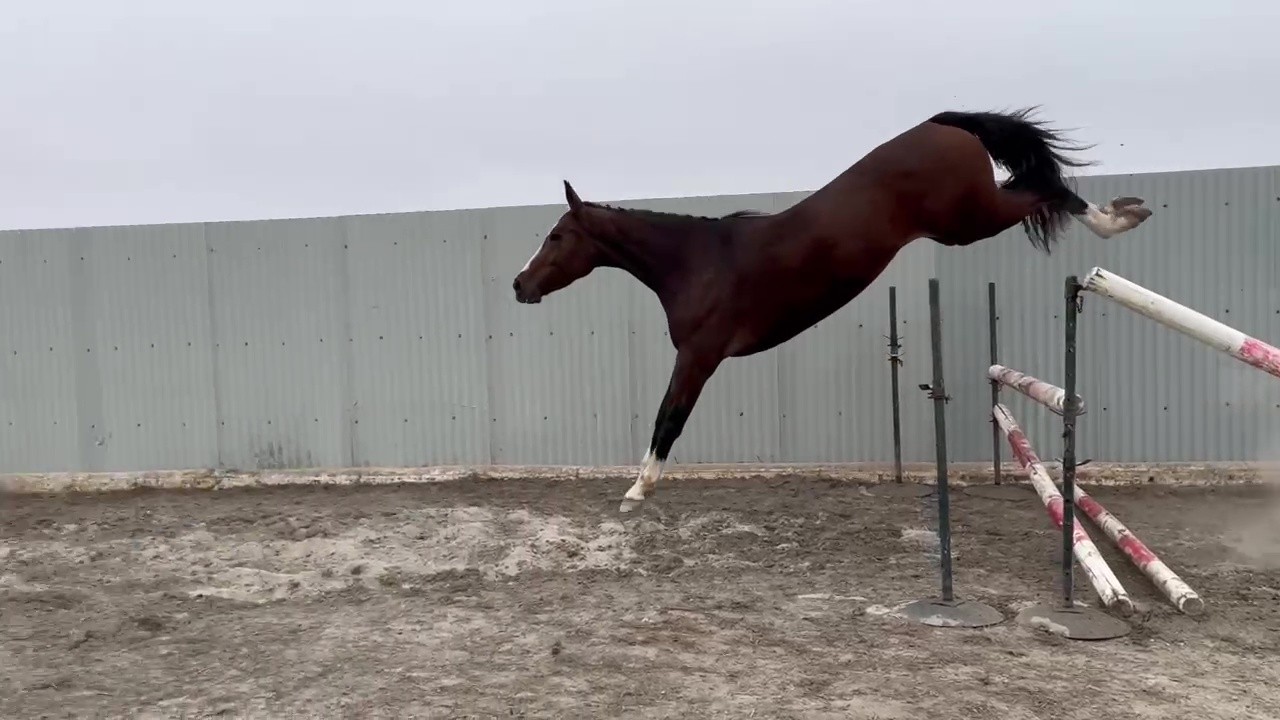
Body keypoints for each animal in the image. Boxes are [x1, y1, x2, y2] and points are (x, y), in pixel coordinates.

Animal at [511, 107, 1153, 513]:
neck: (696, 261)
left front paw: (636, 492)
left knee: (1045, 190)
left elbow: (668, 418)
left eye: (556, 236)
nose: (520, 285)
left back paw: (1120, 217)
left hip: (969, 219)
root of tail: (938, 124)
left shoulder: (698, 357)